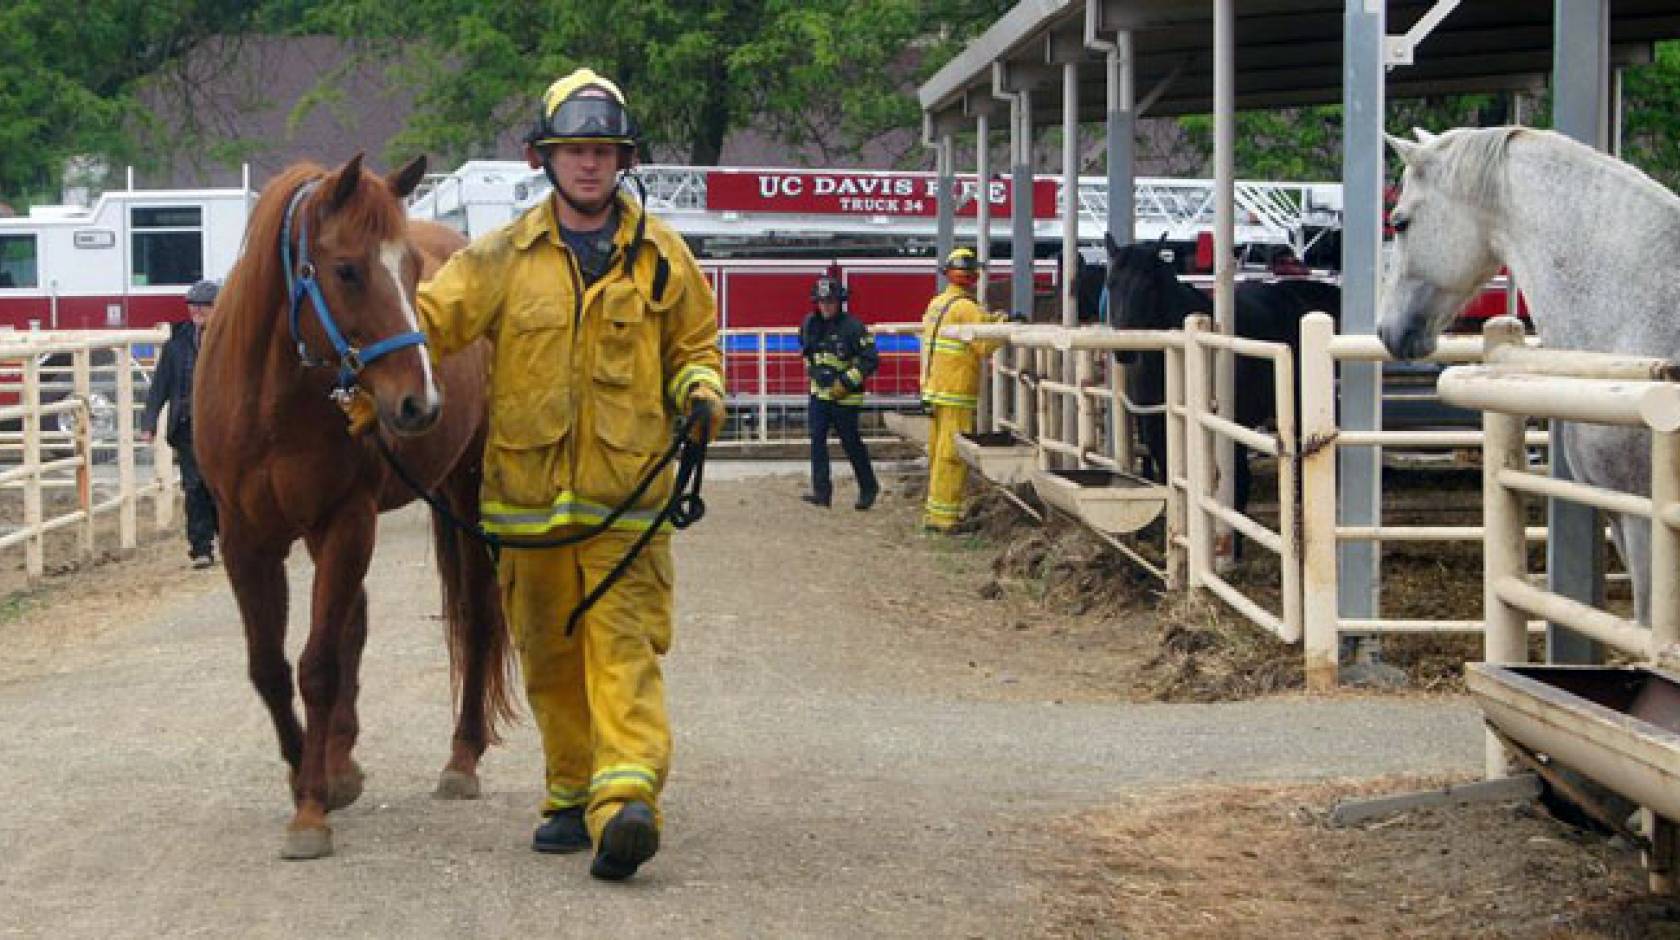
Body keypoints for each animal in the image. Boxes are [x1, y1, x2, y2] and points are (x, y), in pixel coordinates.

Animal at [198, 156, 510, 859]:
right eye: (346, 270)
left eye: (412, 270)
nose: (420, 402)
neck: (270, 397)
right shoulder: (246, 540)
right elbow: (270, 666)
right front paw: (306, 774)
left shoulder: (345, 521)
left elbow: (317, 666)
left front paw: (311, 808)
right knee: (355, 626)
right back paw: (340, 758)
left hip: (466, 493)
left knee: (477, 617)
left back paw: (462, 758)